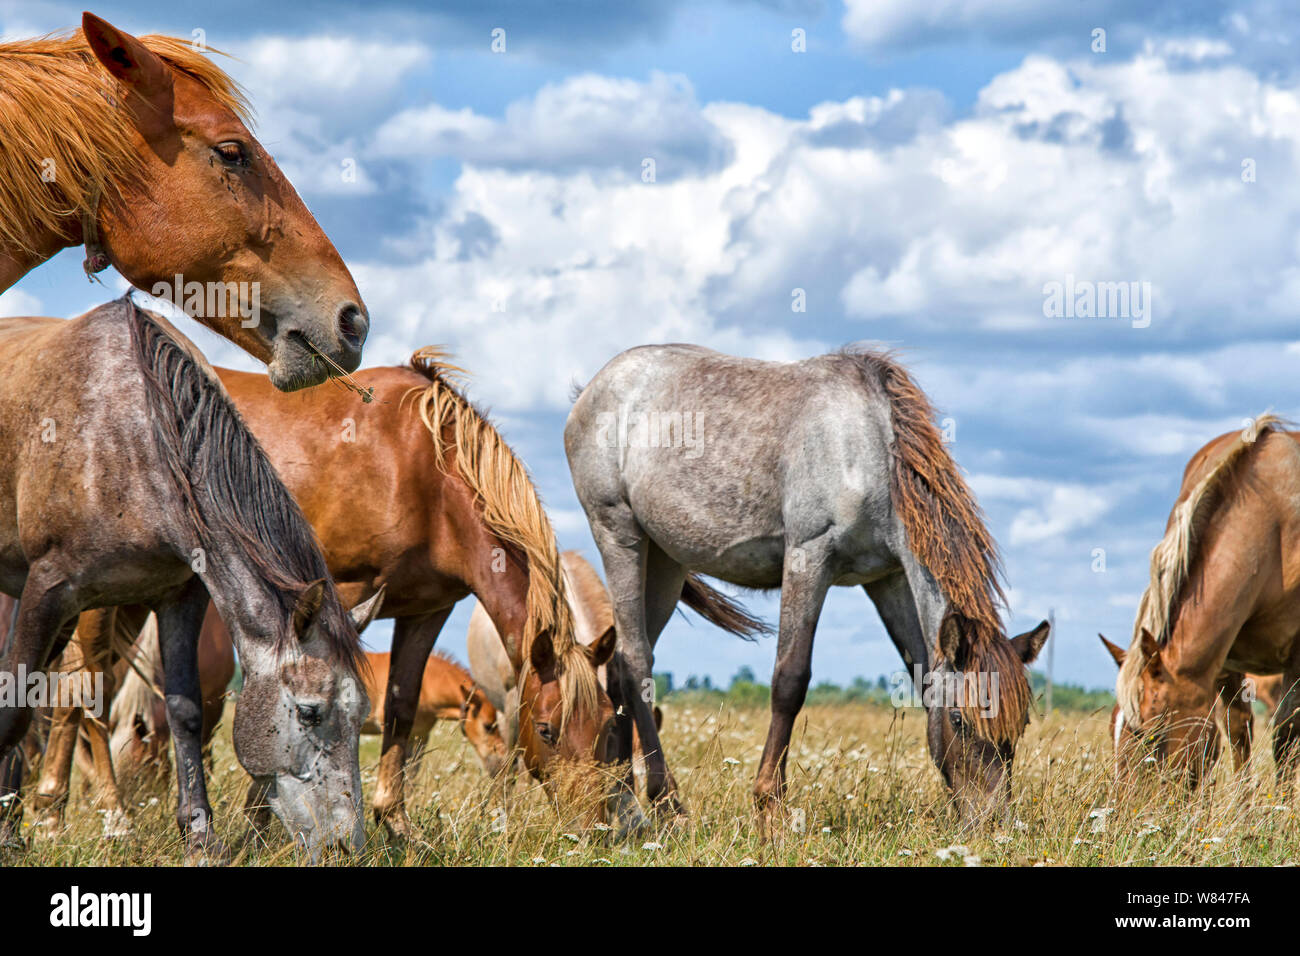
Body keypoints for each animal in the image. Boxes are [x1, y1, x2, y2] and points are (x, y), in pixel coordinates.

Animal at [0, 299, 379, 858]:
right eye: (310, 712)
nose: (345, 847)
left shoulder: (180, 597)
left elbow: (185, 711)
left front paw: (200, 837)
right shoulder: (46, 588)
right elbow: (15, 709)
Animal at [564, 343, 1050, 832]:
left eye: (1023, 723)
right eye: (960, 719)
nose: (993, 823)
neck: (869, 452)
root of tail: (590, 390)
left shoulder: (888, 578)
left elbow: (920, 672)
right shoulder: (808, 558)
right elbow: (790, 680)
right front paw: (770, 806)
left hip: (665, 561)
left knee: (620, 666)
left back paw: (625, 804)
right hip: (619, 534)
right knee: (636, 662)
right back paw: (664, 803)